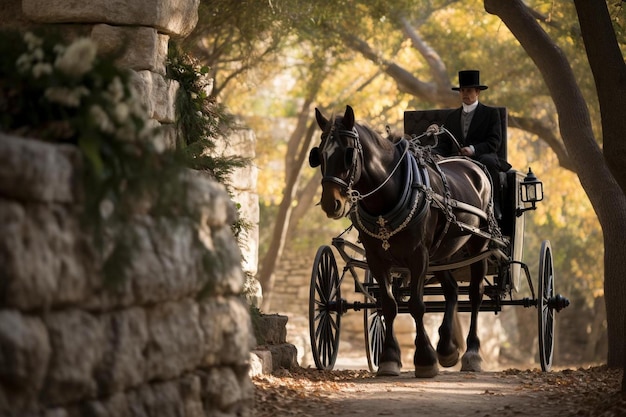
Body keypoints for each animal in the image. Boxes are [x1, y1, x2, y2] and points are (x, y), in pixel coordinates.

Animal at [308, 105, 498, 376]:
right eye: (320, 155)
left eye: (348, 154)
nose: (330, 203)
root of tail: (471, 164)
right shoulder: (377, 259)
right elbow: (388, 305)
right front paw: (389, 359)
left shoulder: (418, 255)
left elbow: (417, 305)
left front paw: (425, 359)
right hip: (442, 252)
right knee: (451, 291)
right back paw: (447, 348)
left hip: (476, 245)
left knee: (474, 295)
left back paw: (472, 354)